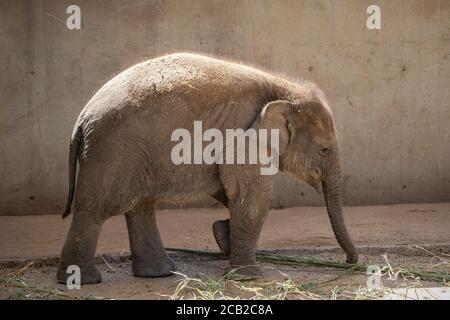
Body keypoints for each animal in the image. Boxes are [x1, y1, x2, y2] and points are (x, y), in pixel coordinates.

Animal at [57, 53, 358, 284]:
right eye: (324, 150)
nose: (351, 261)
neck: (283, 89)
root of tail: (80, 121)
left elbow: (227, 189)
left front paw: (223, 236)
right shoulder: (243, 133)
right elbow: (251, 195)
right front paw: (247, 276)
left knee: (141, 207)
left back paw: (160, 273)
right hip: (113, 151)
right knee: (95, 209)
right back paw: (83, 280)